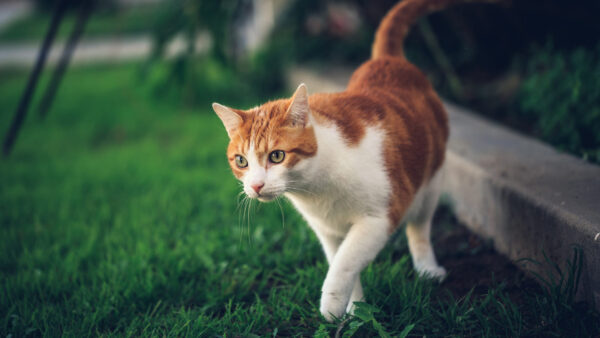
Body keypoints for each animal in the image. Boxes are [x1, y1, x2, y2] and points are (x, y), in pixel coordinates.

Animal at [211, 0, 492, 322]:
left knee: (420, 227)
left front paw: (331, 306)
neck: (317, 189)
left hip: (430, 183)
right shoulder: (327, 231)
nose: (256, 186)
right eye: (241, 161)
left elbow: (346, 261)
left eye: (277, 156)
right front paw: (355, 309)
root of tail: (388, 59)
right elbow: (341, 261)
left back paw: (427, 269)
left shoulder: (381, 216)